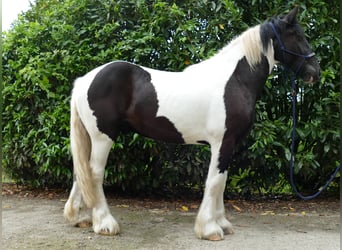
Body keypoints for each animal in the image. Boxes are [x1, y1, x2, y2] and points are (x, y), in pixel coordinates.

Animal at [65, 7, 320, 241]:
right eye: (297, 35)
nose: (315, 72)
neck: (235, 80)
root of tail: (84, 80)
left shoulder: (228, 145)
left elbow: (222, 181)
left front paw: (222, 223)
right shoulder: (222, 142)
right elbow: (215, 182)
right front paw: (210, 229)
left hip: (91, 138)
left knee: (81, 171)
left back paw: (79, 218)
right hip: (103, 137)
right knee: (94, 173)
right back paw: (105, 224)